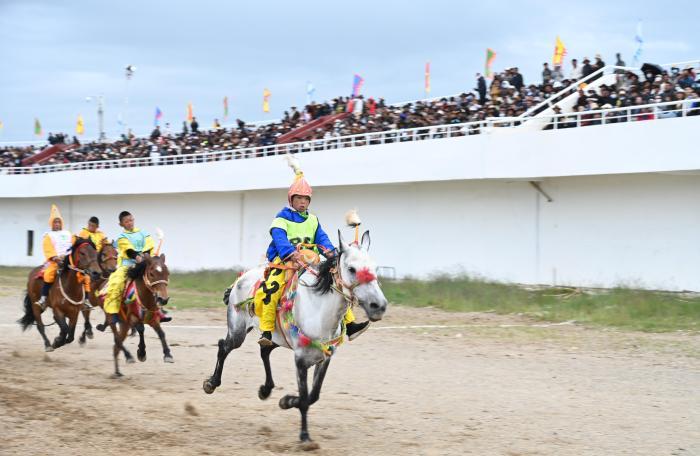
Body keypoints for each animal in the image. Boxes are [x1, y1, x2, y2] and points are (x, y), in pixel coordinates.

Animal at [202, 232, 388, 442]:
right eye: (351, 269)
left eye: (374, 268)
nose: (378, 306)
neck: (319, 311)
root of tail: (241, 278)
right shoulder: (300, 359)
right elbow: (305, 398)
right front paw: (305, 436)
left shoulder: (325, 358)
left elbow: (313, 396)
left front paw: (287, 401)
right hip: (238, 331)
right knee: (224, 346)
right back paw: (211, 383)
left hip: (276, 337)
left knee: (264, 349)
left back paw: (265, 389)